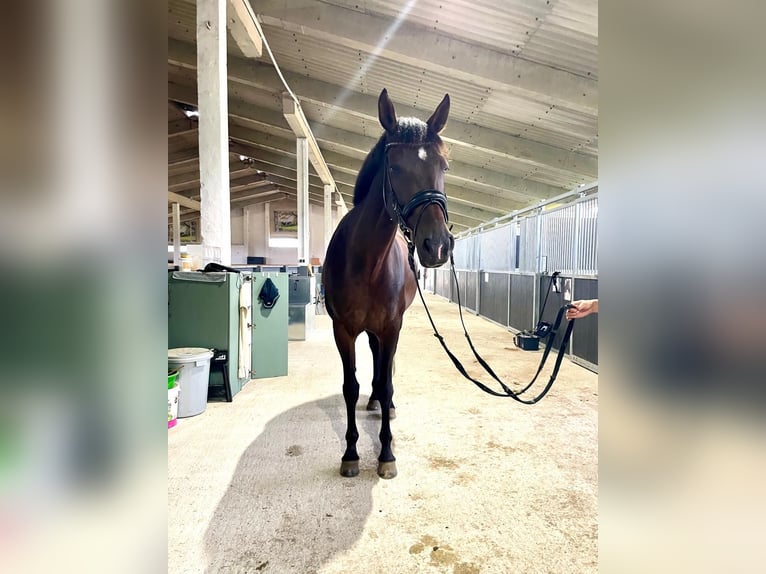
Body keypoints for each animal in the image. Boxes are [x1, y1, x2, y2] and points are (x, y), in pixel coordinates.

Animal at [322, 89, 454, 479]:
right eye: (394, 167)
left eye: (443, 167)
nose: (437, 246)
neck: (366, 264)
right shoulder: (343, 330)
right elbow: (350, 386)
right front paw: (351, 453)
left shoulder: (392, 326)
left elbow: (386, 377)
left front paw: (386, 454)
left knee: (385, 368)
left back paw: (386, 405)